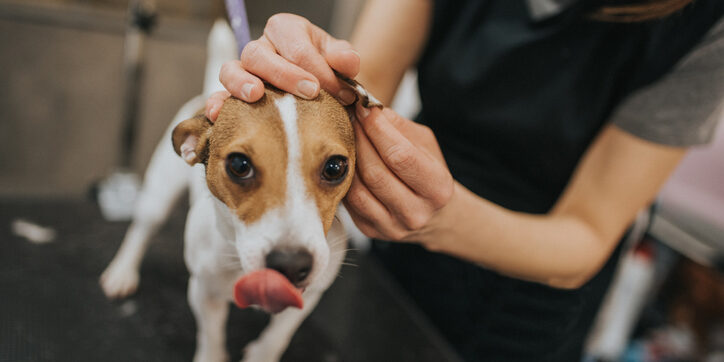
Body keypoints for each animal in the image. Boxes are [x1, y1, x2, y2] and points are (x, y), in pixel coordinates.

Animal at [99, 20, 374, 362]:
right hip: (157, 197)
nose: (290, 264)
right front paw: (212, 355)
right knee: (141, 230)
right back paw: (122, 272)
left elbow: (277, 336)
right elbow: (211, 335)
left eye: (335, 167)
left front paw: (261, 355)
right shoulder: (203, 292)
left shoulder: (309, 297)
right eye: (239, 165)